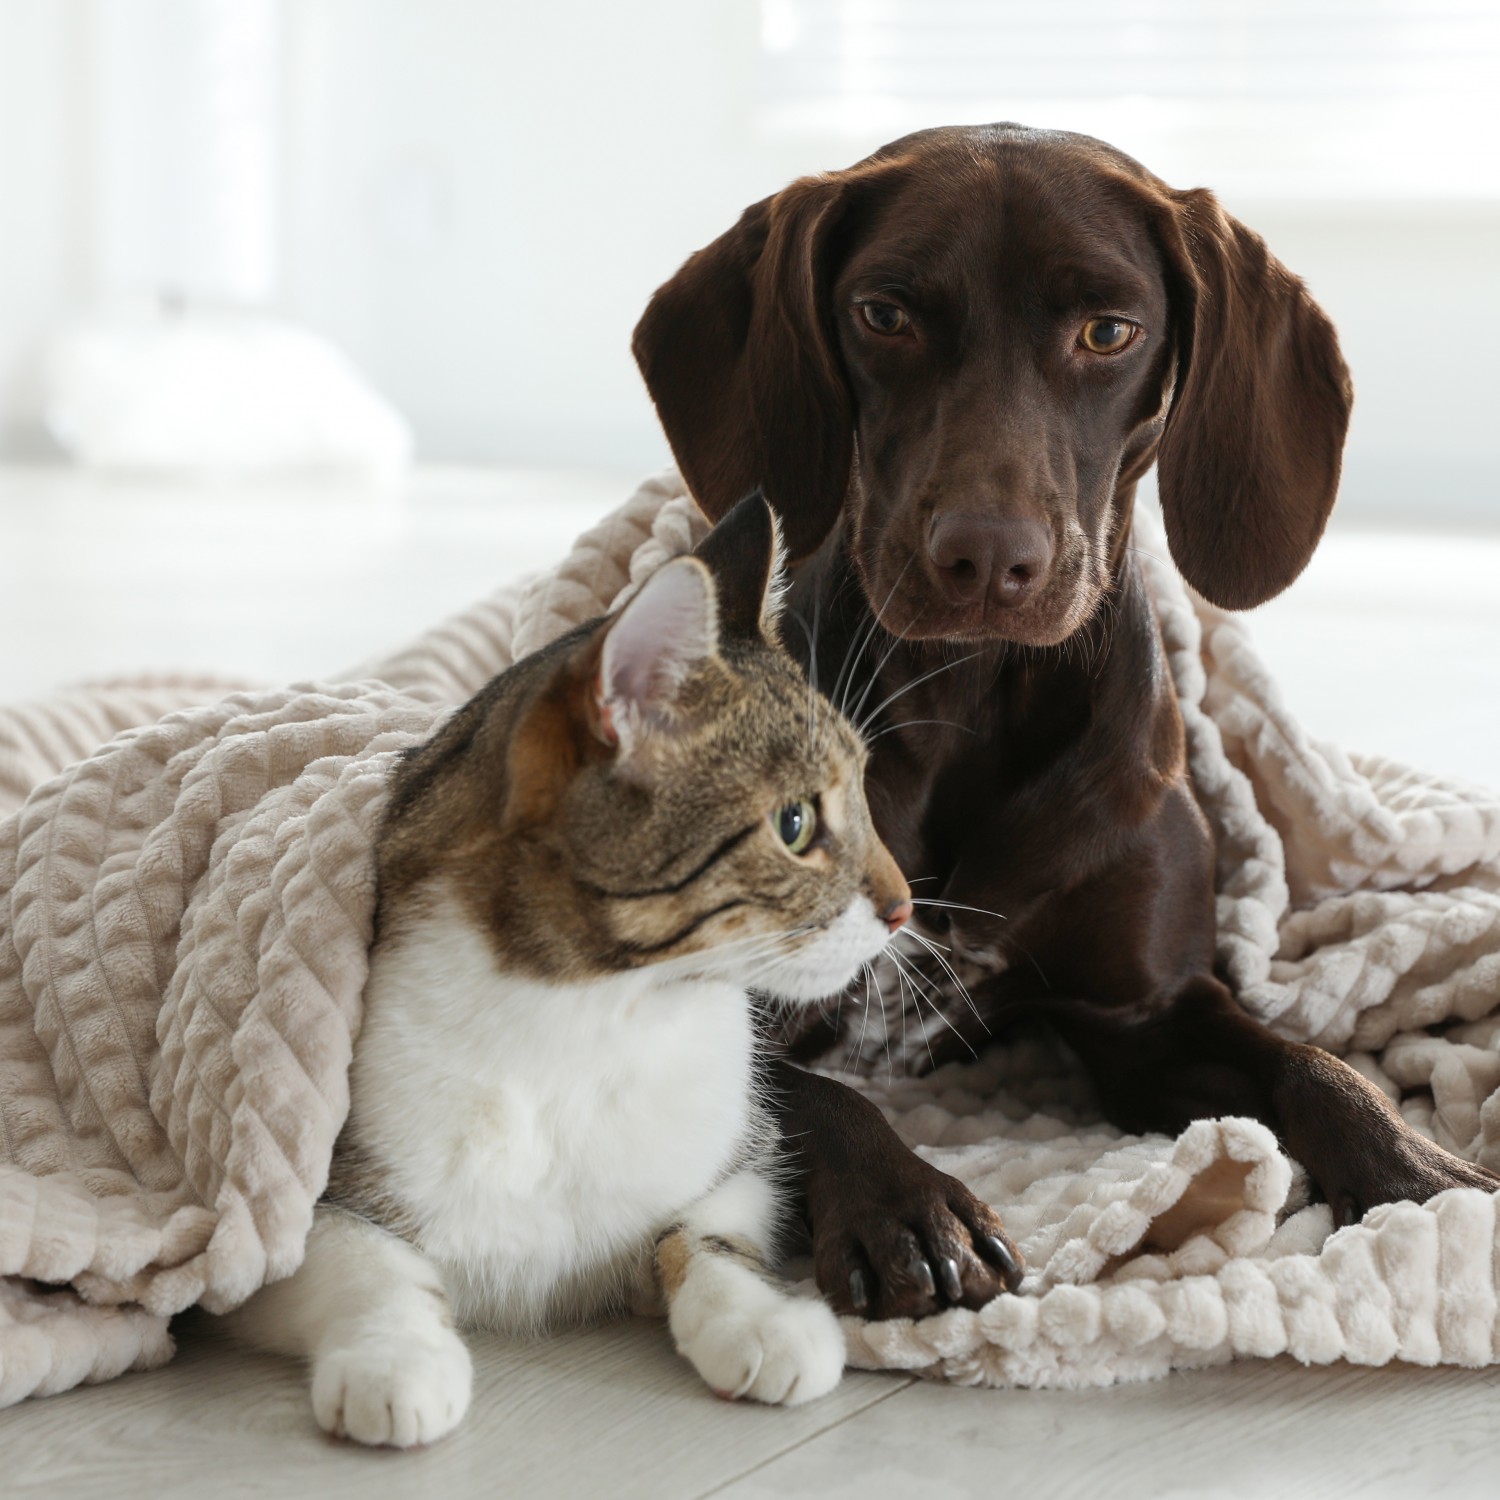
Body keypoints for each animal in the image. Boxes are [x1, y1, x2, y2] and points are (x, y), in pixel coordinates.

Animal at [217, 498, 906, 1446]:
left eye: (867, 794)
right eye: (796, 823)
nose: (906, 905)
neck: (597, 1019)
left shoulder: (743, 1157)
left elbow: (705, 1235)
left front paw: (760, 1321)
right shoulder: (279, 1215)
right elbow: (364, 1261)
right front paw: (396, 1360)